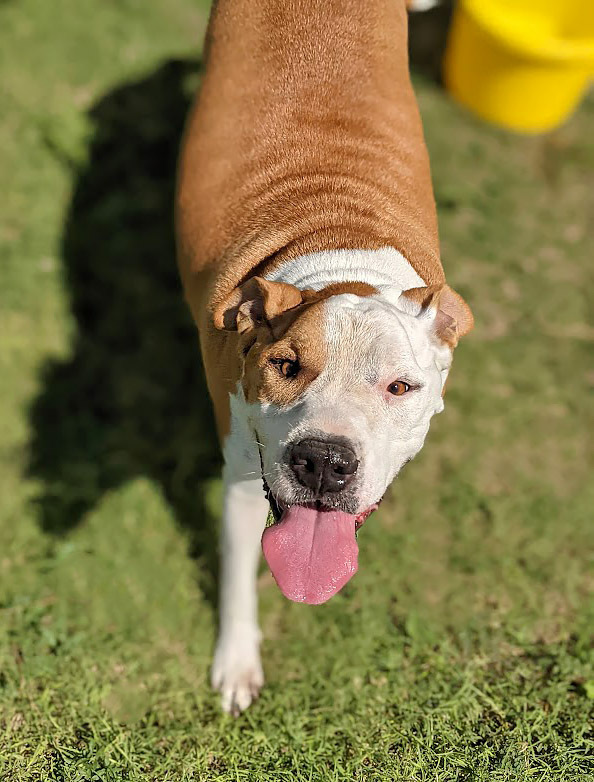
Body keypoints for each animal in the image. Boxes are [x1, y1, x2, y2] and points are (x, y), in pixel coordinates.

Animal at [175, 0, 472, 716]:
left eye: (400, 388)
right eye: (285, 368)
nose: (323, 463)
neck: (339, 243)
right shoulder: (240, 472)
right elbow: (237, 570)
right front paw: (237, 662)